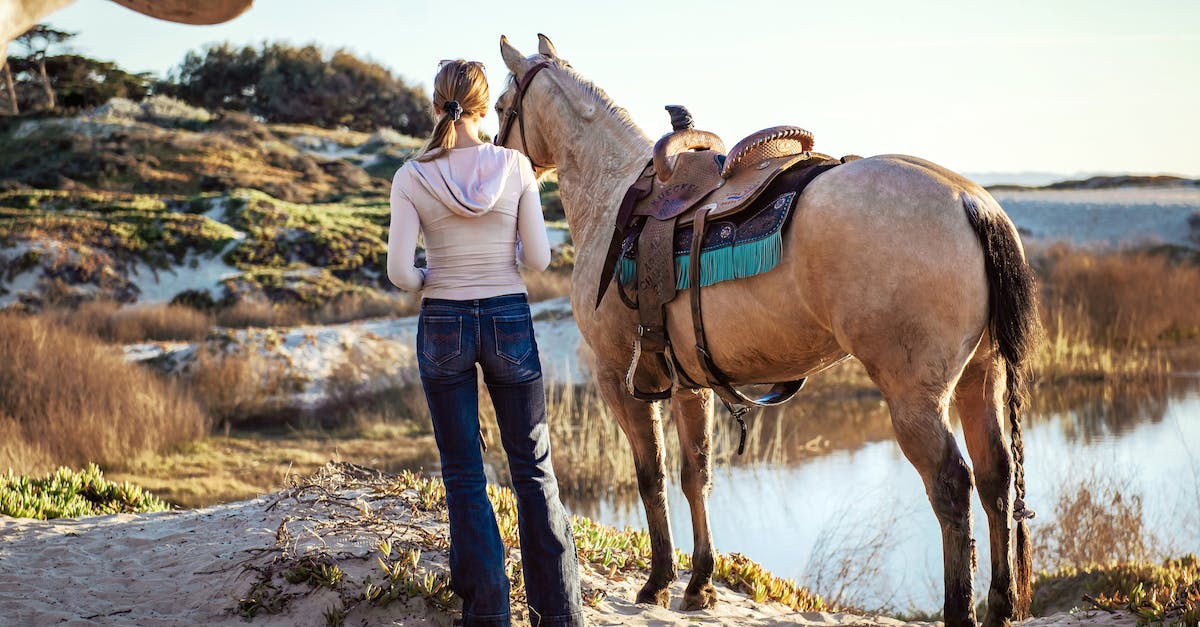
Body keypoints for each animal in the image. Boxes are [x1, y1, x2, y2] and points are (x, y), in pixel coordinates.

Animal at [495, 35, 1040, 627]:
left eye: (501, 108)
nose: (497, 155)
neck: (615, 194)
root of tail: (970, 201)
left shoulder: (618, 378)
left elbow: (650, 475)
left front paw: (658, 582)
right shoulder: (689, 386)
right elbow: (696, 474)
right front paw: (700, 584)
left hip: (914, 398)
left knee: (952, 487)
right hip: (981, 377)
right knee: (996, 478)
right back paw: (1000, 604)